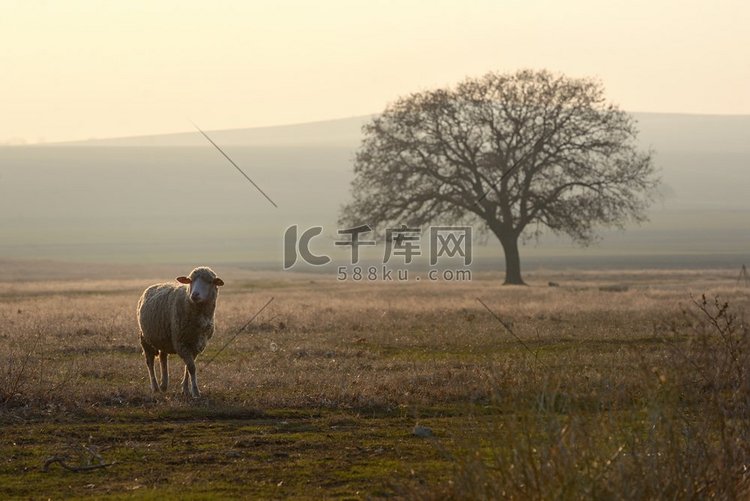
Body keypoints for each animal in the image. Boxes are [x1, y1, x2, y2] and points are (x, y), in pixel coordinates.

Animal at [137, 268, 223, 396]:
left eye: (209, 281)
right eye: (190, 280)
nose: (195, 295)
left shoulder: (196, 344)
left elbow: (188, 367)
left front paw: (186, 389)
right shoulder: (181, 342)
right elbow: (191, 367)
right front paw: (195, 391)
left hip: (164, 338)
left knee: (163, 358)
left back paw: (164, 385)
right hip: (145, 338)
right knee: (150, 362)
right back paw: (156, 387)